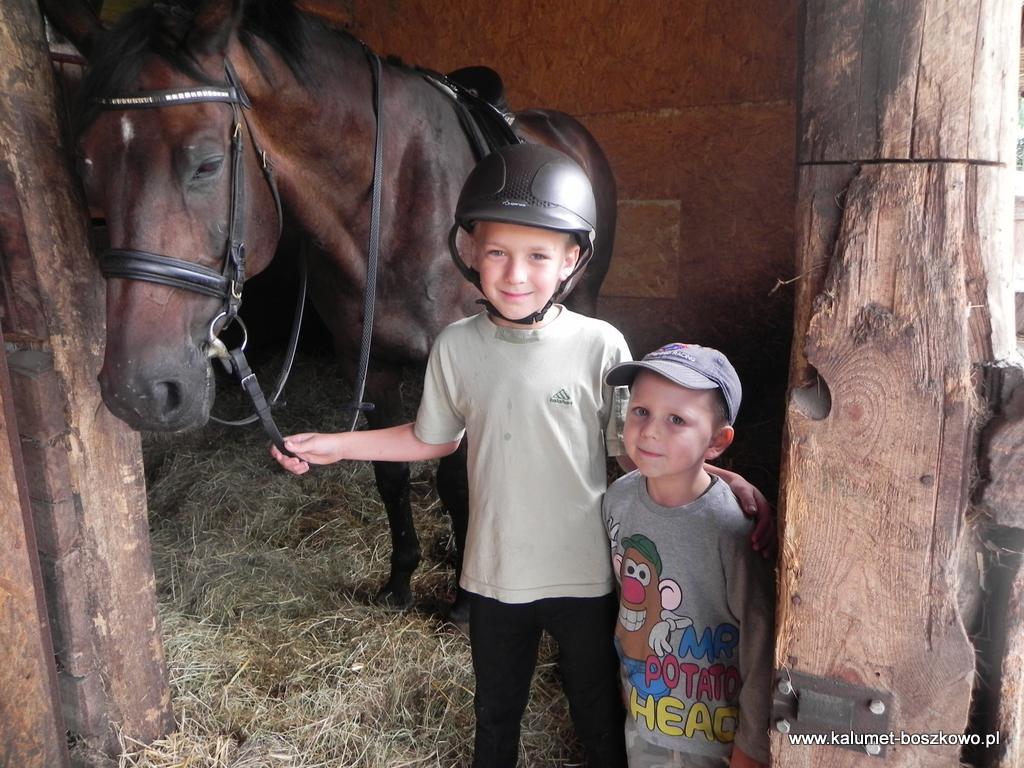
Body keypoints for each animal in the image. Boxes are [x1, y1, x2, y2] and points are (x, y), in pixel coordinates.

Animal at [49, 0, 617, 622]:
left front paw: (466, 600)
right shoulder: (370, 365)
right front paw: (401, 580)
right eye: (86, 169)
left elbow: (457, 481)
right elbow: (392, 474)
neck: (398, 200)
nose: (136, 392)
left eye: (206, 162)